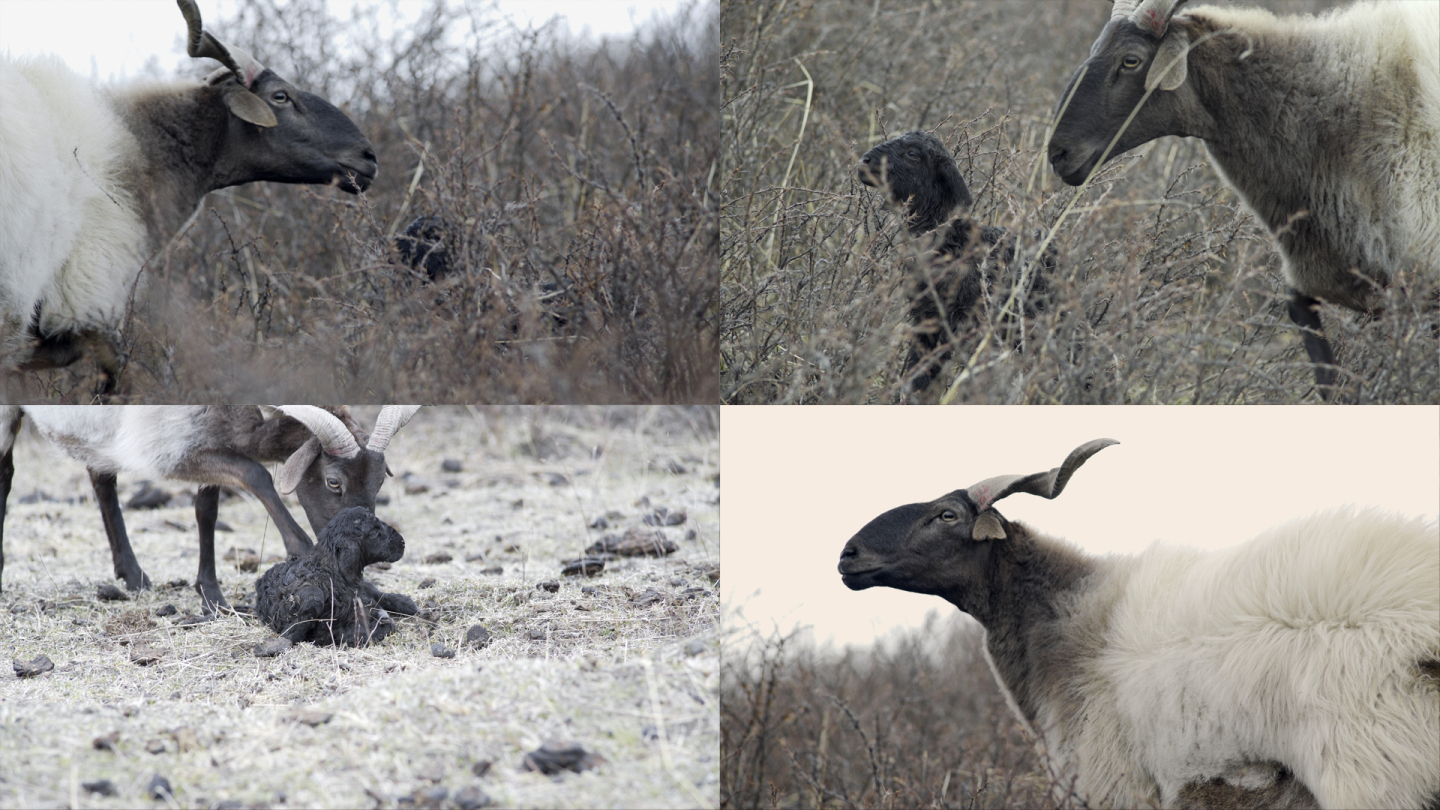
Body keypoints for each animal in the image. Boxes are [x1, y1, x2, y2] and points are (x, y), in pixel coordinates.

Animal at [852, 128, 1059, 394]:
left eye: (912, 154)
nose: (865, 161)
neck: (954, 241)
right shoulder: (926, 320)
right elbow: (920, 368)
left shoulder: (971, 324)